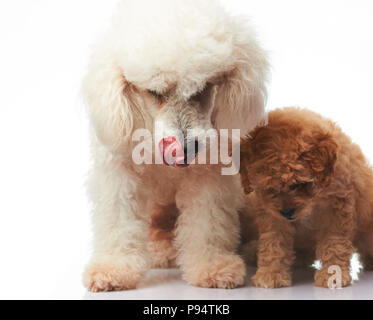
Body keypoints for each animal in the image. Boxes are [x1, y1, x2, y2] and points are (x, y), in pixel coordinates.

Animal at [238, 109, 372, 288]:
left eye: (299, 183)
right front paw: (271, 273)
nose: (287, 213)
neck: (313, 201)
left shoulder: (335, 208)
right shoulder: (272, 214)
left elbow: (334, 242)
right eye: (269, 187)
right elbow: (274, 243)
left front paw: (332, 275)